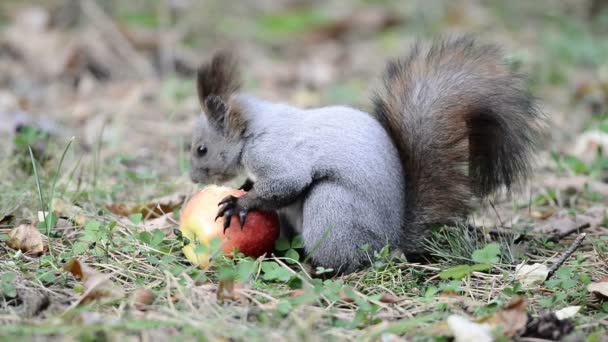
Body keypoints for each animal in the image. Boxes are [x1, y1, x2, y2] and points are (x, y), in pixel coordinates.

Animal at [188, 36, 544, 274]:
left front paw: (240, 203)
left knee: (347, 260)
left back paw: (318, 270)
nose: (192, 178)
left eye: (201, 149)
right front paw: (246, 187)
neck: (253, 129)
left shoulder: (276, 152)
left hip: (332, 208)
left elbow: (288, 182)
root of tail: (392, 240)